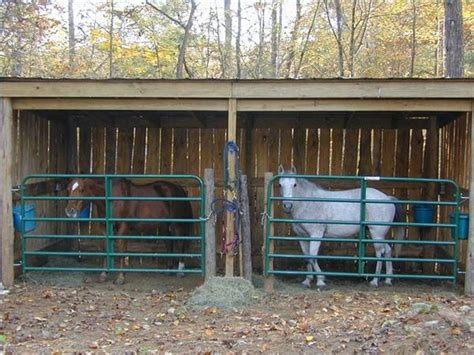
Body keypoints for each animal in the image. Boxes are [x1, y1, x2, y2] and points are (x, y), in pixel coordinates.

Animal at [65, 179, 194, 286]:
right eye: (68, 189)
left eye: (82, 189)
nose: (70, 211)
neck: (111, 198)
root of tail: (180, 189)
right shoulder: (104, 227)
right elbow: (105, 248)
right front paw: (103, 275)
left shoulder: (123, 227)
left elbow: (122, 250)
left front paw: (120, 278)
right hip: (164, 226)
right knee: (169, 243)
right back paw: (168, 269)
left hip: (177, 225)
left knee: (180, 244)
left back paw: (180, 271)